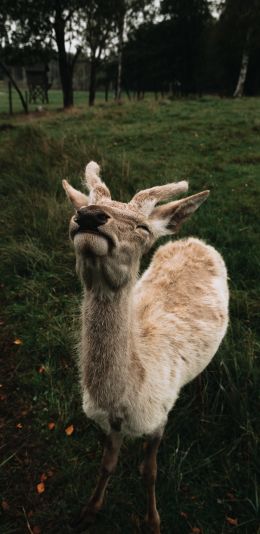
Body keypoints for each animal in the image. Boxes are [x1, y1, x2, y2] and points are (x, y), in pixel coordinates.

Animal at [62, 162, 229, 534]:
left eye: (142, 227)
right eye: (79, 208)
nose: (89, 216)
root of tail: (194, 240)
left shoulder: (159, 416)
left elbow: (149, 472)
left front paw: (153, 520)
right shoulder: (110, 425)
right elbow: (107, 465)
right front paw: (88, 511)